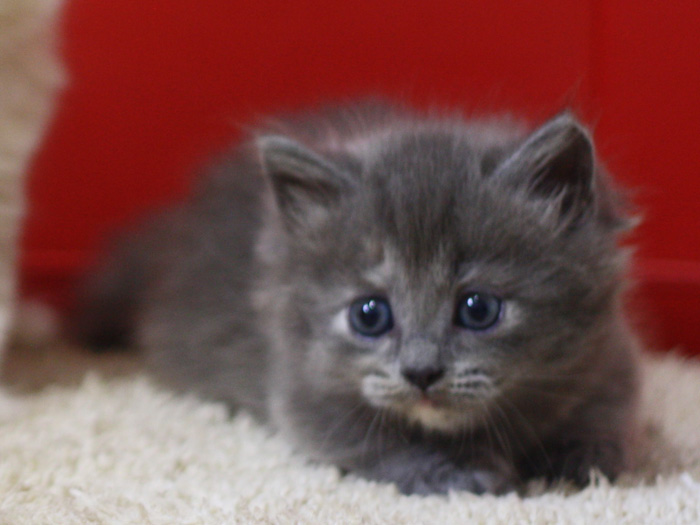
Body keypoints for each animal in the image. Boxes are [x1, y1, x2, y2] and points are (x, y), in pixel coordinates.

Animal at [75, 100, 640, 494]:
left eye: (478, 309)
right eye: (370, 315)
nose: (420, 372)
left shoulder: (609, 359)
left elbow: (605, 417)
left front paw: (576, 456)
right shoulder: (302, 393)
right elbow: (379, 444)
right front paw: (457, 473)